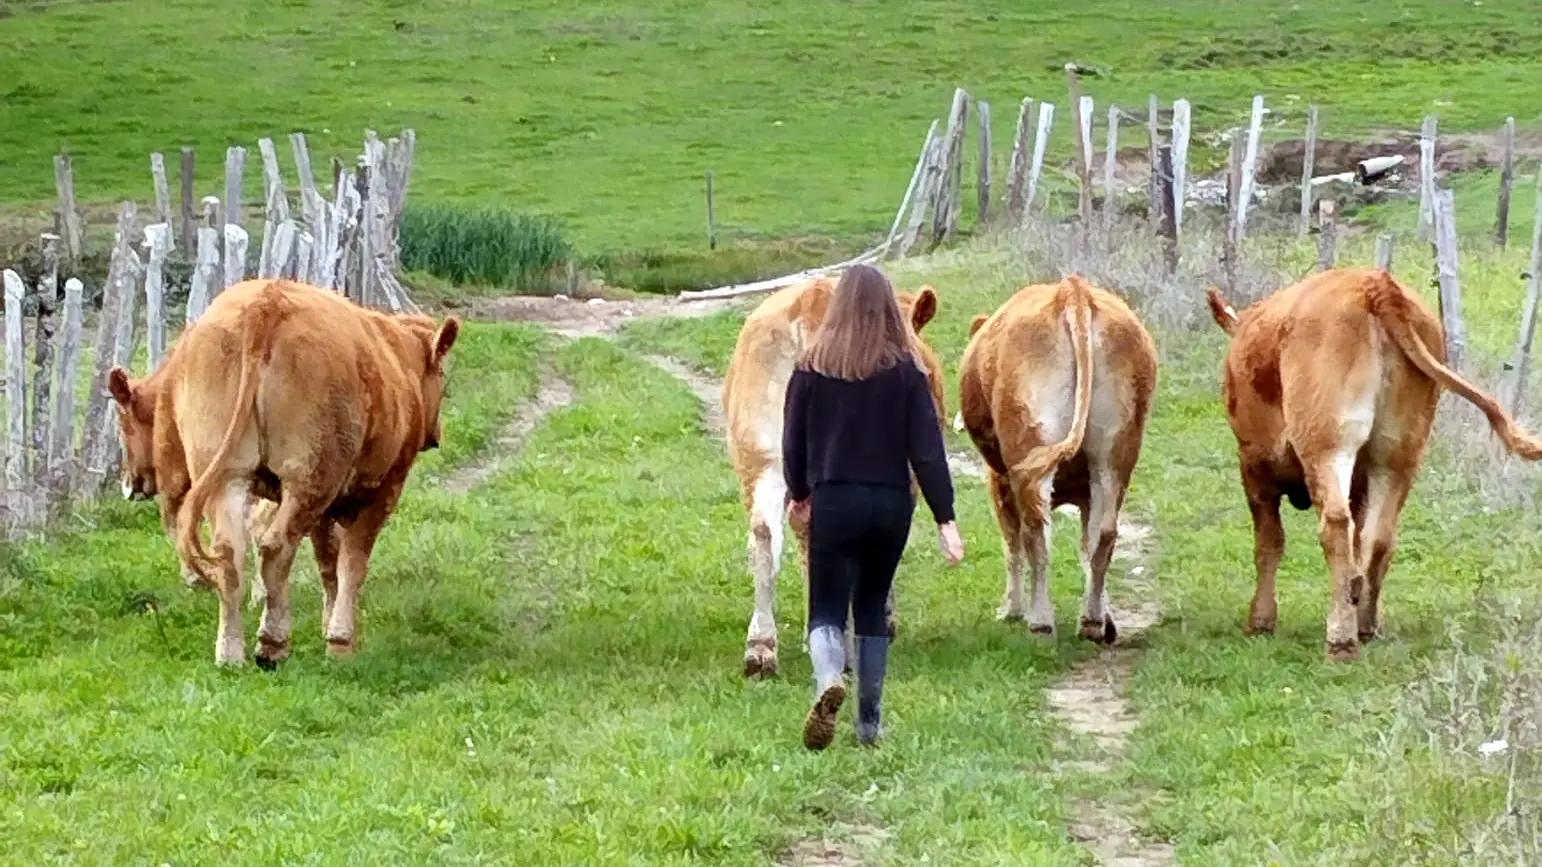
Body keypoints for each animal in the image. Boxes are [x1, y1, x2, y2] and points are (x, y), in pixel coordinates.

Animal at [956, 273, 1159, 638]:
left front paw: (1010, 610)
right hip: (1116, 453)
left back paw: (1039, 620)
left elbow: (1012, 544)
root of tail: (1072, 289)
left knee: (1036, 533)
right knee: (1104, 535)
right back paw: (1091, 622)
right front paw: (1106, 615)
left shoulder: (998, 480)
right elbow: (1086, 547)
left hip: (1028, 446)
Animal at [1202, 266, 1542, 657]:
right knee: (1378, 536)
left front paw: (1260, 620)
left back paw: (1340, 638)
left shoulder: (1254, 466)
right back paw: (1364, 624)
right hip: (1399, 454)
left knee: (1335, 524)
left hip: (1328, 444)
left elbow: (1269, 543)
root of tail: (1373, 283)